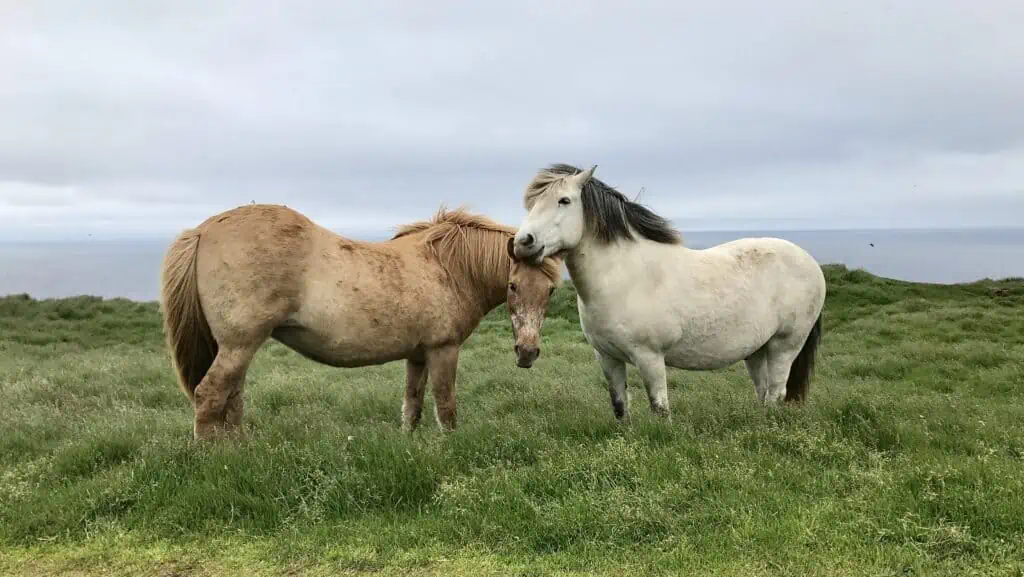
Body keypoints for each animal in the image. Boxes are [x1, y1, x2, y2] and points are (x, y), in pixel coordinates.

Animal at [159, 203, 563, 440]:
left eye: (550, 290)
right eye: (512, 285)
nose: (527, 353)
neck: (449, 268)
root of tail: (203, 230)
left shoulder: (417, 355)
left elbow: (412, 404)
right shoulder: (443, 350)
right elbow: (445, 405)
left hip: (237, 347)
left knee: (232, 398)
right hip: (240, 344)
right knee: (210, 395)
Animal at [510, 164, 826, 422]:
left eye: (564, 200)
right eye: (531, 203)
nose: (522, 242)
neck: (622, 276)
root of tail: (811, 262)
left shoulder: (649, 357)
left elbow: (659, 408)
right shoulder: (607, 357)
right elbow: (620, 406)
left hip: (784, 346)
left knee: (776, 392)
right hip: (757, 350)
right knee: (763, 391)